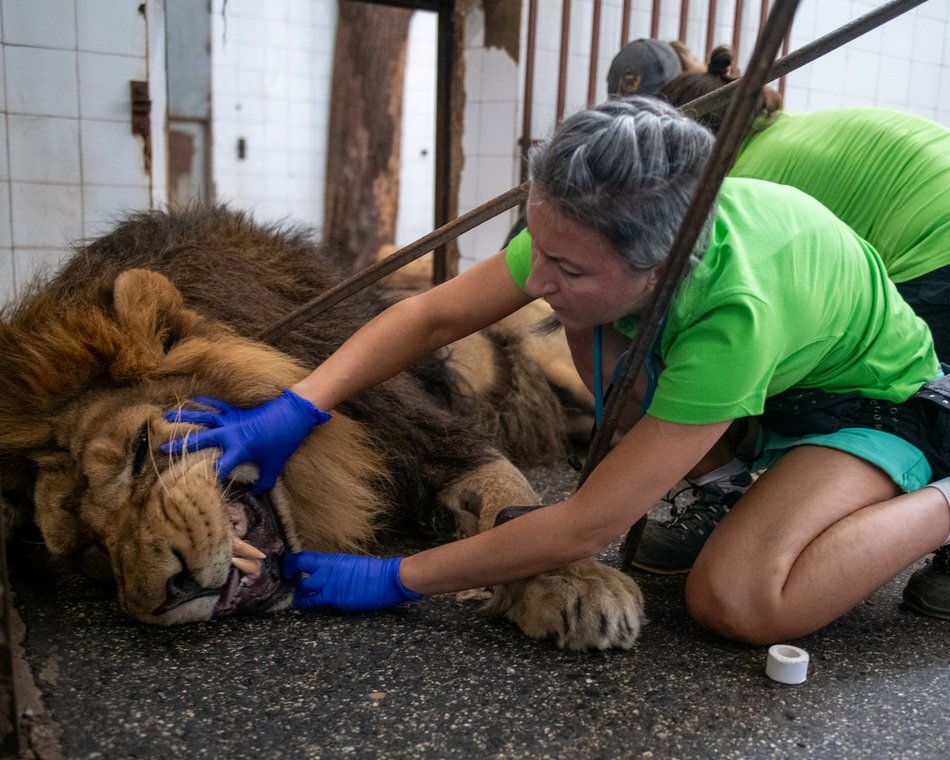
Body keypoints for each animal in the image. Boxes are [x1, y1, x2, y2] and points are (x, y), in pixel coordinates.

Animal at [0, 205, 648, 652]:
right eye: (90, 552)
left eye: (140, 450)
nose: (166, 593)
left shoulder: (431, 436)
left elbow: (516, 505)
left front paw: (575, 582)